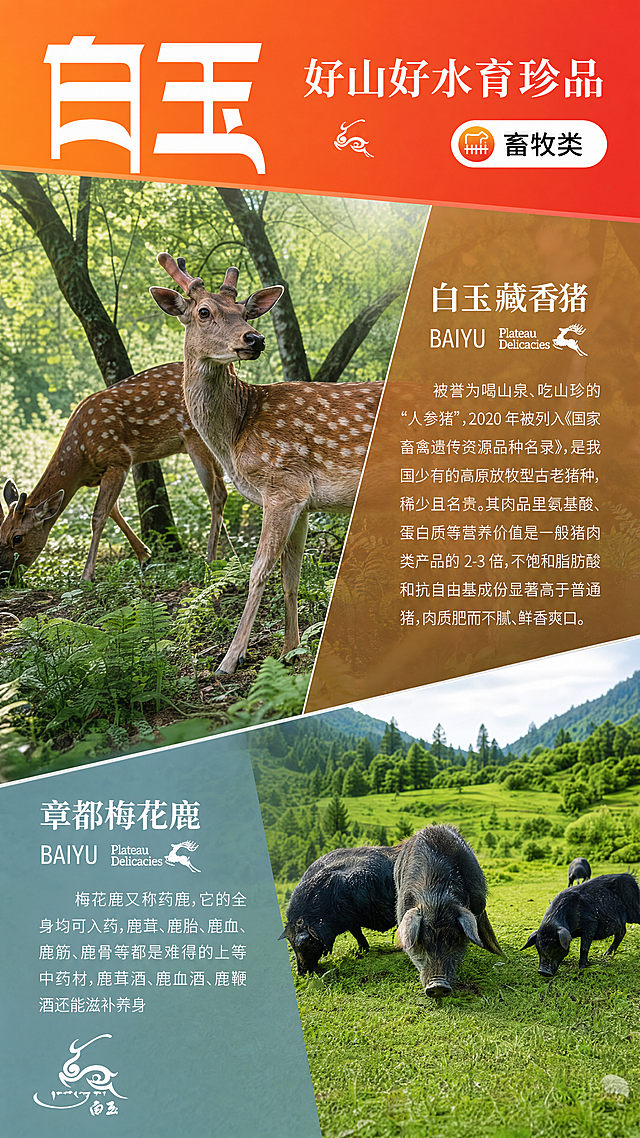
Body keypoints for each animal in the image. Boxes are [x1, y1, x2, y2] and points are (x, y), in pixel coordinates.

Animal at [0, 363, 227, 586]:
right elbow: (113, 510)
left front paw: (87, 576)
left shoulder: (118, 459)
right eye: (0, 533)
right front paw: (145, 556)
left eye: (17, 538)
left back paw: (209, 560)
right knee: (224, 490)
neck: (80, 455)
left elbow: (99, 516)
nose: (5, 579)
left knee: (215, 494)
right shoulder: (100, 474)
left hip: (194, 437)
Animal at [150, 254, 383, 675]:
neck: (236, 433)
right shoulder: (303, 500)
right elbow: (291, 575)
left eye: (244, 312)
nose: (254, 339)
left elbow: (258, 571)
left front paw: (230, 658)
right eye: (204, 311)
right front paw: (292, 650)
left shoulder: (282, 483)